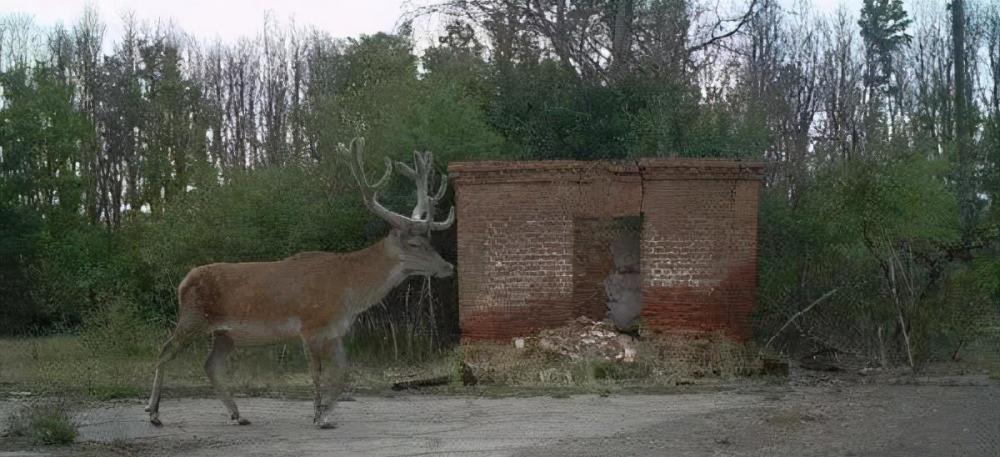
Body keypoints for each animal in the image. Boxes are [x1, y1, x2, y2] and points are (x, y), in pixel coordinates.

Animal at [144, 136, 454, 428]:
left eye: (430, 240)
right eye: (415, 244)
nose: (448, 266)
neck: (348, 290)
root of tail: (183, 281)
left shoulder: (335, 331)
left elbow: (344, 373)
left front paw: (327, 412)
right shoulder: (310, 325)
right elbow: (316, 372)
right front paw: (318, 416)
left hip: (225, 334)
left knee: (211, 365)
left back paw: (237, 415)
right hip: (193, 317)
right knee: (164, 350)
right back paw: (154, 413)